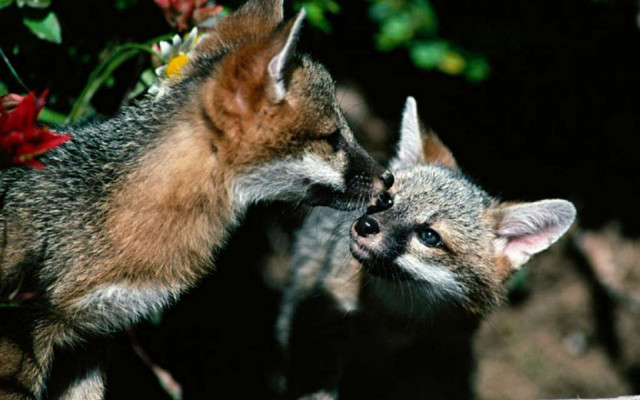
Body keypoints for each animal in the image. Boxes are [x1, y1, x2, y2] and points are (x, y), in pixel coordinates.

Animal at [275, 97, 577, 400]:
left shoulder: (438, 353)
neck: (394, 319)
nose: (365, 225)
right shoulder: (324, 316)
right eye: (386, 201)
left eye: (429, 237)